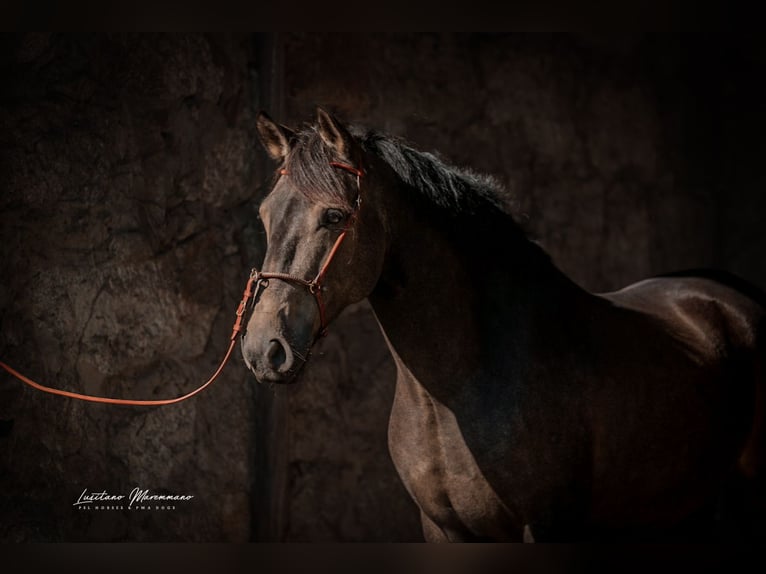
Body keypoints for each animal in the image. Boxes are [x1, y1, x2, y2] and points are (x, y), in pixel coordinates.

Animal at [241, 107, 766, 542]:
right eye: (264, 216)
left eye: (334, 216)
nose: (263, 348)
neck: (460, 391)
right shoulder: (443, 530)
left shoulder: (547, 525)